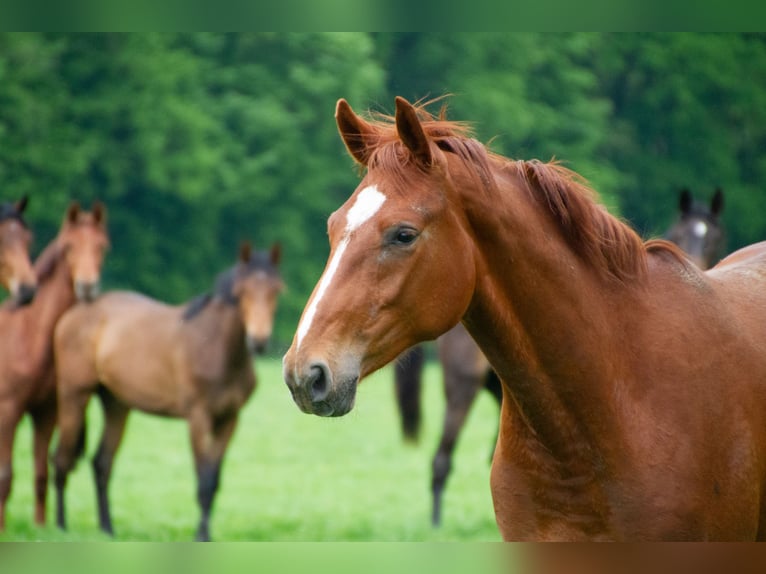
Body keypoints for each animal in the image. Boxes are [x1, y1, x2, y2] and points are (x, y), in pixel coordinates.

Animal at [0, 201, 108, 531]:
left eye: (102, 246)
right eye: (68, 246)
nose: (87, 286)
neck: (29, 336)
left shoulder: (46, 413)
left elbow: (40, 475)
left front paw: (40, 527)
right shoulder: (8, 411)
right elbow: (5, 476)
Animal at [52, 242, 283, 541]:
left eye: (276, 290)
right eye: (241, 292)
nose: (259, 341)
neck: (217, 347)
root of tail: (74, 314)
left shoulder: (229, 420)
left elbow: (214, 481)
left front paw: (206, 533)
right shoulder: (198, 418)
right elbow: (203, 480)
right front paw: (201, 536)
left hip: (116, 405)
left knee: (102, 464)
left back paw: (107, 528)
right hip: (74, 397)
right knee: (61, 459)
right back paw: (60, 526)